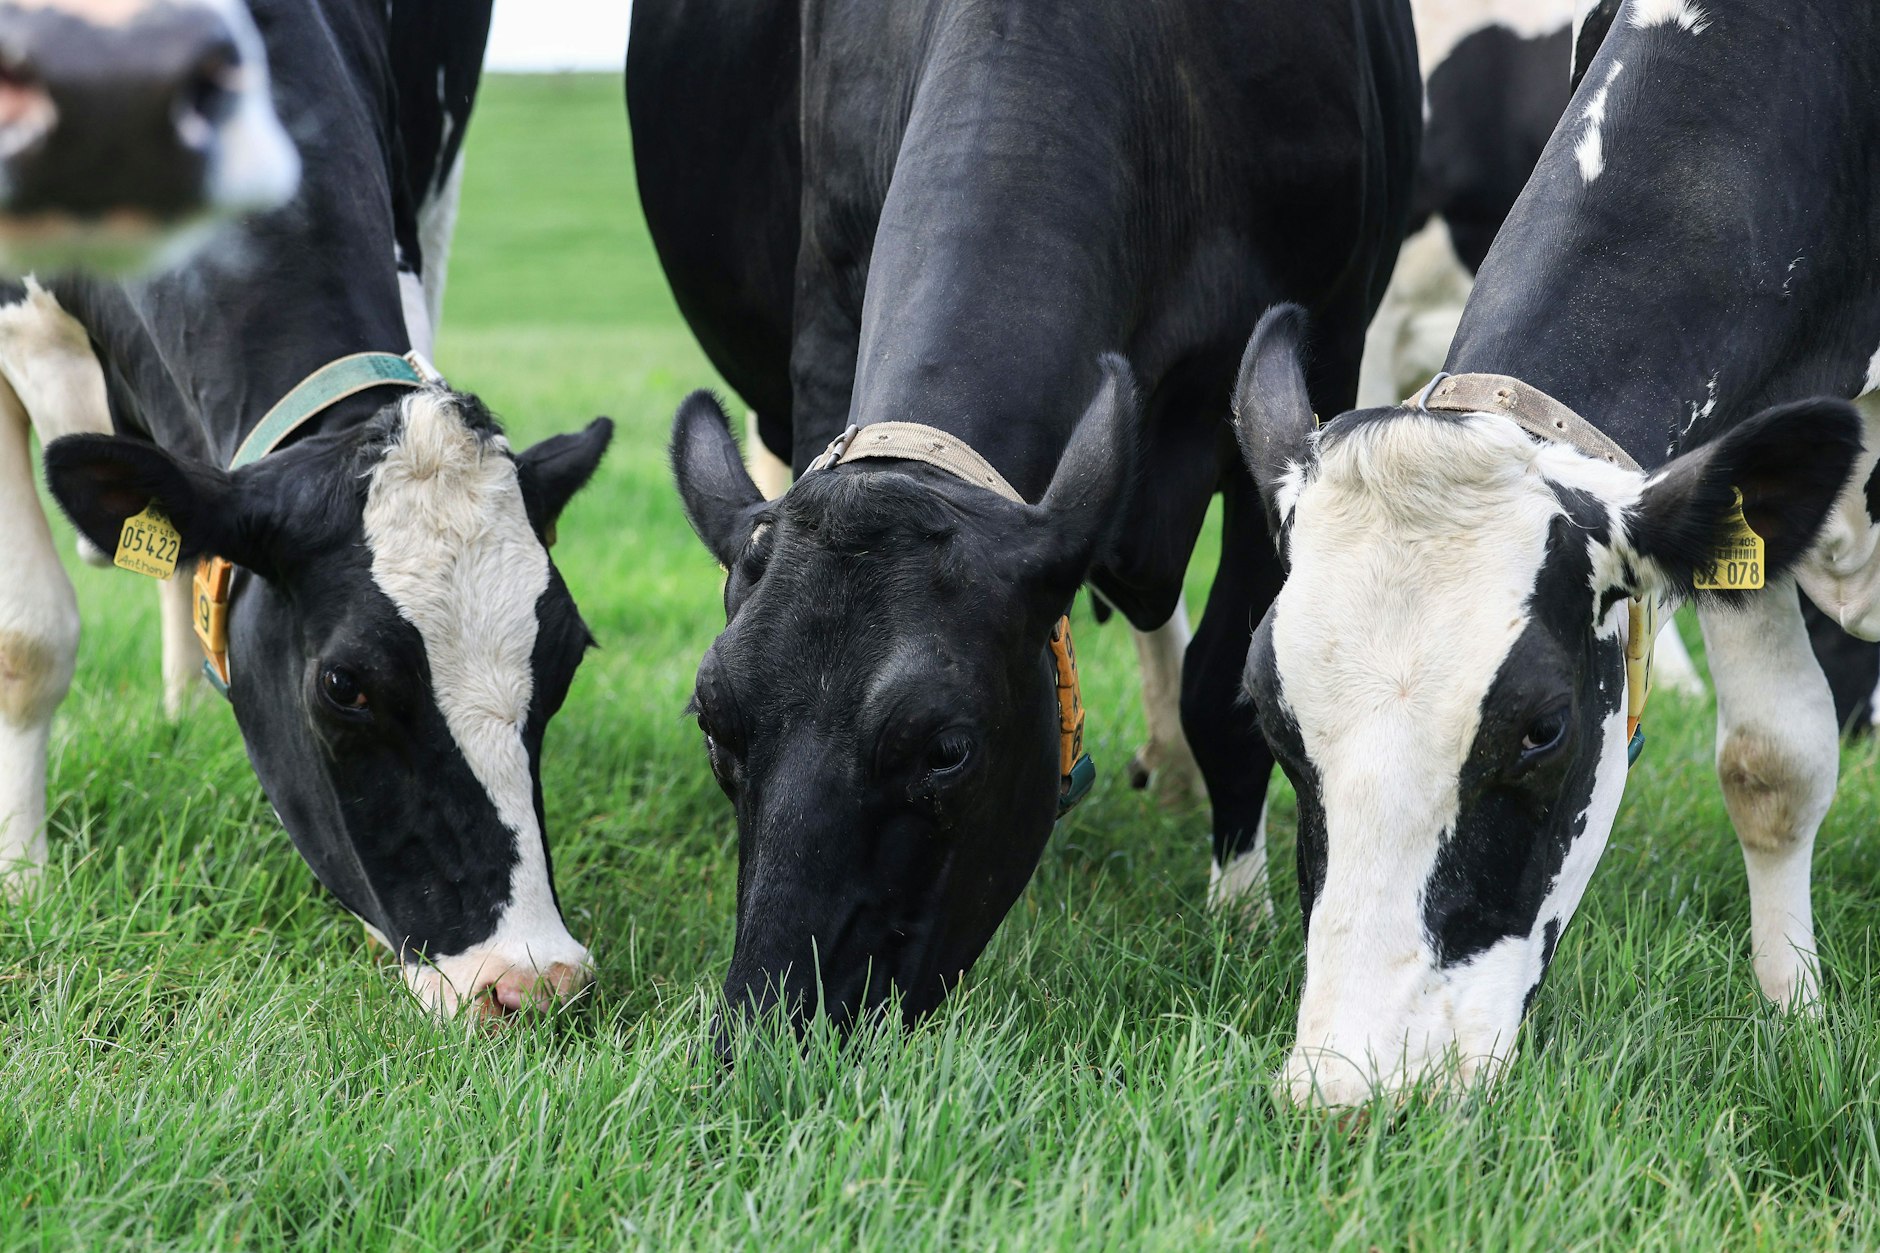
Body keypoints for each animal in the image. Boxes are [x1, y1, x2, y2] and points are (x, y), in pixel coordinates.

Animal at [632, 0, 1420, 1036]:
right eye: (716, 726)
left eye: (948, 749)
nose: (769, 1023)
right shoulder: (827, 308)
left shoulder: (1316, 356)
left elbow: (1230, 684)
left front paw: (1240, 911)